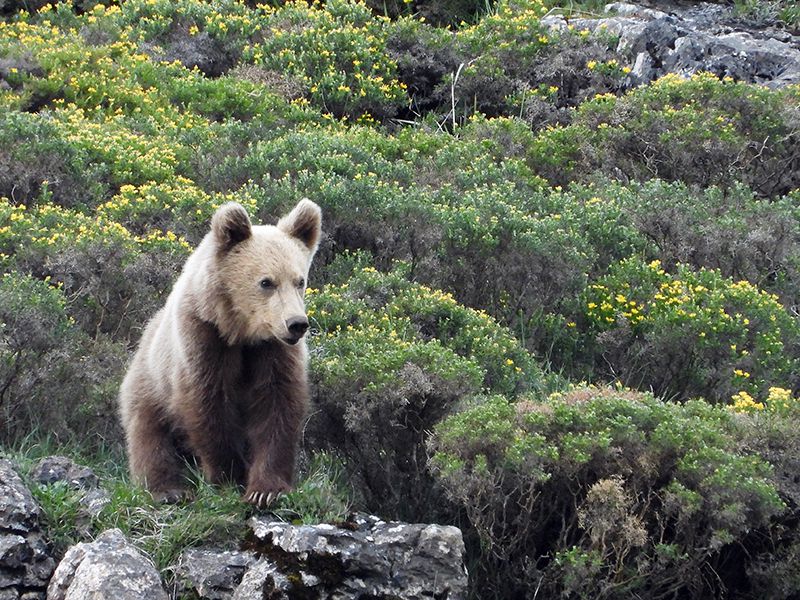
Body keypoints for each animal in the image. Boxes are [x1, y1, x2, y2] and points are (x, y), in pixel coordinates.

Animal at [117, 198, 320, 506]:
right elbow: (209, 404)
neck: (241, 332)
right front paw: (228, 476)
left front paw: (266, 489)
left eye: (300, 280)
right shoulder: (204, 339)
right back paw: (168, 490)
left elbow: (277, 405)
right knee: (149, 437)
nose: (296, 324)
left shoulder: (272, 351)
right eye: (266, 282)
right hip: (149, 385)